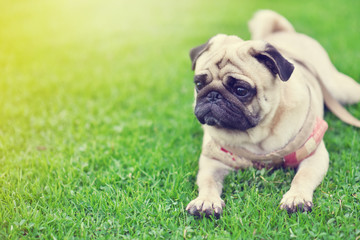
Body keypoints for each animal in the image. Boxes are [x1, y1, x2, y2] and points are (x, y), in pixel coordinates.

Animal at [186, 9, 360, 217]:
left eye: (241, 90)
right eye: (198, 84)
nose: (213, 95)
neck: (256, 136)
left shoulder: (314, 154)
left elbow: (302, 177)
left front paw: (296, 198)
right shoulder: (212, 160)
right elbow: (208, 181)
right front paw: (206, 201)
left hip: (340, 88)